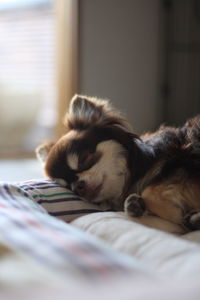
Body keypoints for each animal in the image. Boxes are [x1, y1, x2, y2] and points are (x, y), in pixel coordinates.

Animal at [36, 95, 200, 231]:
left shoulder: (180, 163)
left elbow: (148, 193)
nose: (77, 187)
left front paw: (180, 215)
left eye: (84, 159)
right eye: (67, 186)